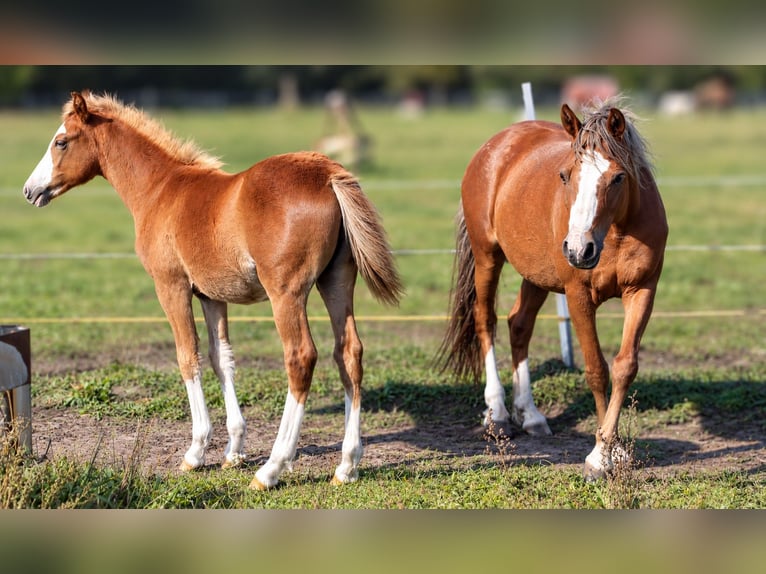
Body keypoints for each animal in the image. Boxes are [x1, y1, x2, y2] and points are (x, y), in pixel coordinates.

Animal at [23, 91, 403, 490]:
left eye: (61, 141)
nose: (29, 190)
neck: (160, 190)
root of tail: (328, 175)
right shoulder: (211, 295)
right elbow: (222, 358)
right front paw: (233, 450)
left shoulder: (171, 286)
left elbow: (187, 356)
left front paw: (196, 451)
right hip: (337, 281)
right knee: (349, 353)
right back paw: (347, 466)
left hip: (286, 291)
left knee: (300, 357)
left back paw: (272, 468)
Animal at [438, 99, 667, 480]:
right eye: (565, 175)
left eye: (618, 177)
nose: (578, 250)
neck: (617, 232)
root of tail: (497, 144)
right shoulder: (578, 296)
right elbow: (596, 369)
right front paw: (598, 457)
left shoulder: (642, 291)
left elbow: (624, 367)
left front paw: (616, 449)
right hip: (487, 257)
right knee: (486, 320)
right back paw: (498, 414)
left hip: (535, 275)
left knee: (519, 324)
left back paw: (530, 416)